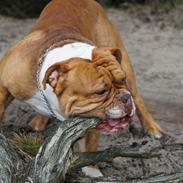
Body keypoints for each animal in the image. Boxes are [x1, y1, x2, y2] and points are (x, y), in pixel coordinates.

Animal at [0, 0, 163, 177]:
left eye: (122, 80)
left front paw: (92, 170)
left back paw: (153, 129)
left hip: (123, 59)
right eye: (100, 92)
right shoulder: (4, 82)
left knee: (138, 99)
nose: (125, 97)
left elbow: (90, 142)